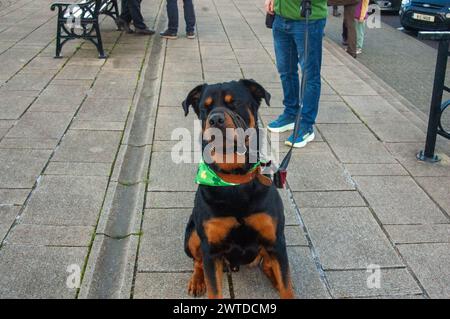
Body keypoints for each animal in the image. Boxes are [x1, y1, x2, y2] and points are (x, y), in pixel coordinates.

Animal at [181, 80, 294, 300]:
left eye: (235, 103)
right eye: (204, 108)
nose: (215, 119)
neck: (233, 179)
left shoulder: (276, 241)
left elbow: (286, 286)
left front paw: (284, 285)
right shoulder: (211, 249)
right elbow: (213, 288)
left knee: (270, 265)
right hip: (191, 234)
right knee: (198, 261)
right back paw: (197, 281)